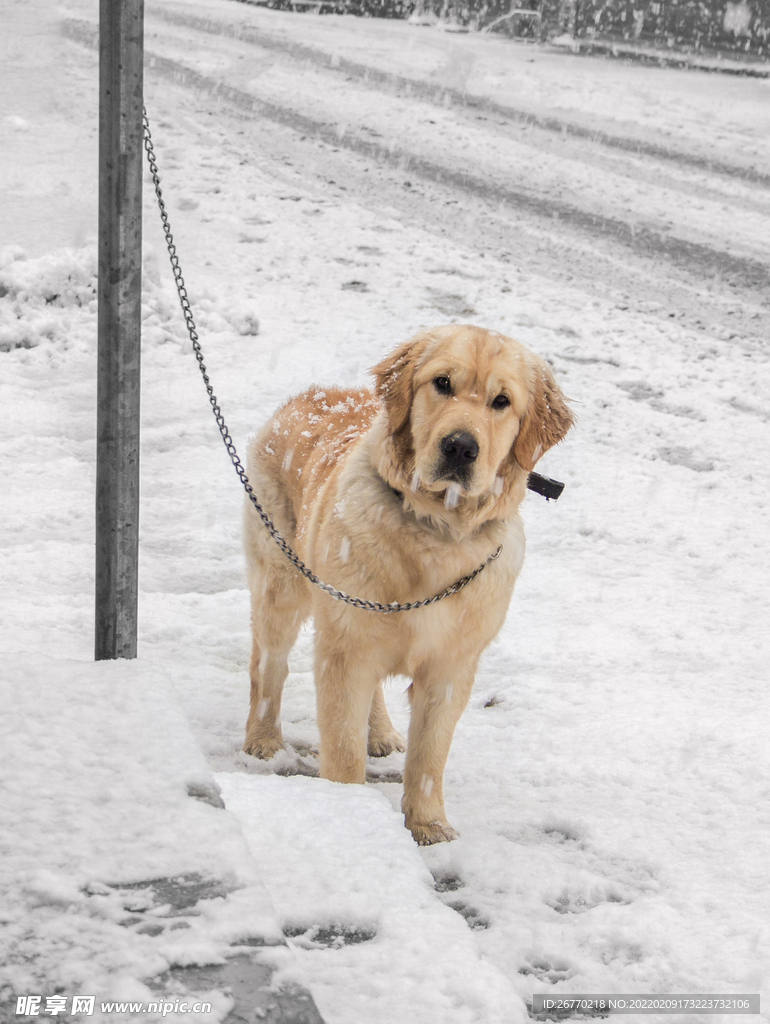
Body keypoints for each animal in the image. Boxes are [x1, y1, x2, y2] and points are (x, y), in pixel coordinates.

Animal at [240, 323, 573, 843]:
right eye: (442, 383)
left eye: (501, 401)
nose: (460, 447)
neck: (436, 533)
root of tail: (312, 393)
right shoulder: (345, 650)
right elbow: (342, 746)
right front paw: (349, 813)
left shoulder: (451, 666)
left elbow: (430, 754)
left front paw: (428, 825)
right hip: (282, 584)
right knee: (267, 666)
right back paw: (262, 739)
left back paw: (379, 733)